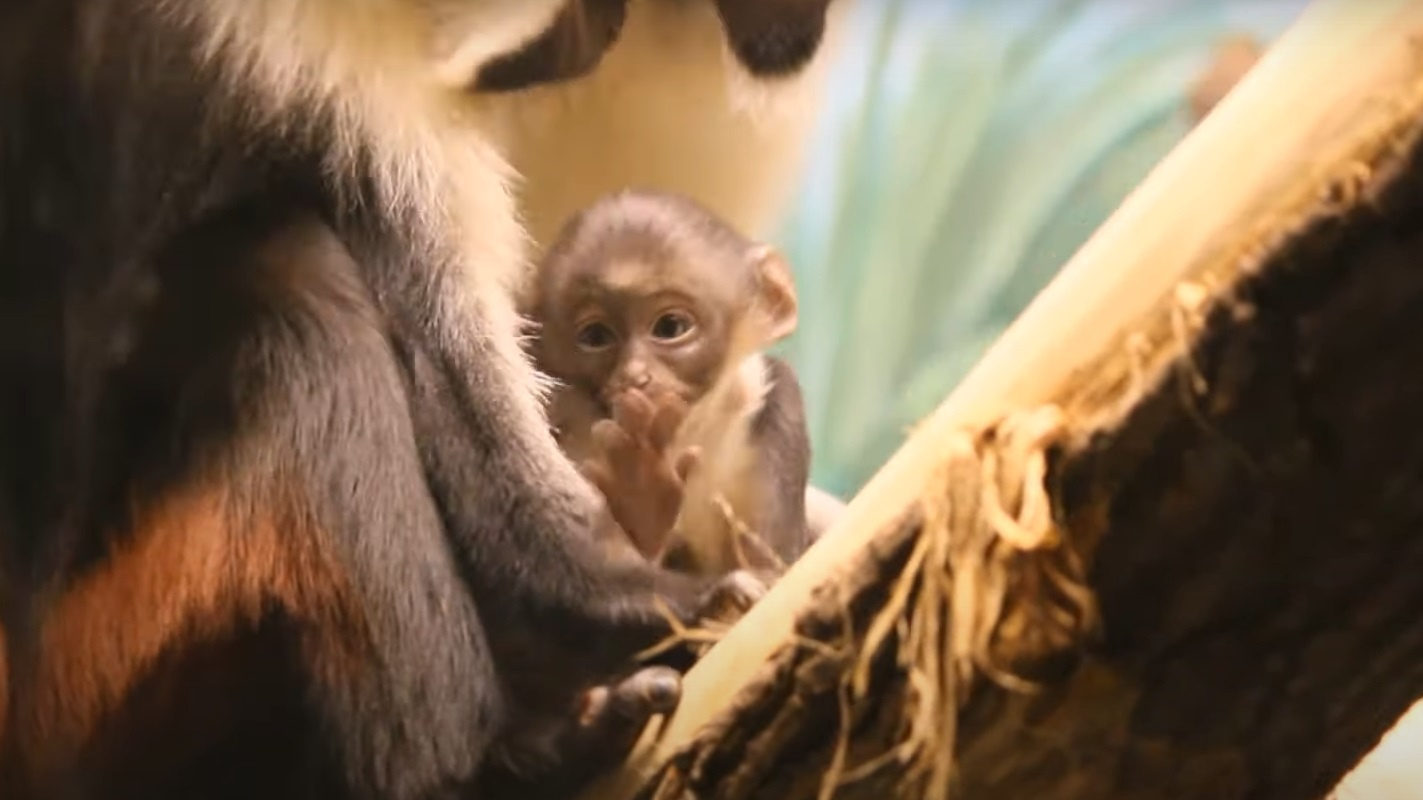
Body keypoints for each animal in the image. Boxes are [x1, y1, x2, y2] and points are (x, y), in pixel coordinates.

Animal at [532, 189, 831, 575]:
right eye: (596, 335)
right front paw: (641, 501)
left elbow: (770, 573)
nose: (634, 376)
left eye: (670, 326)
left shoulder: (778, 403)